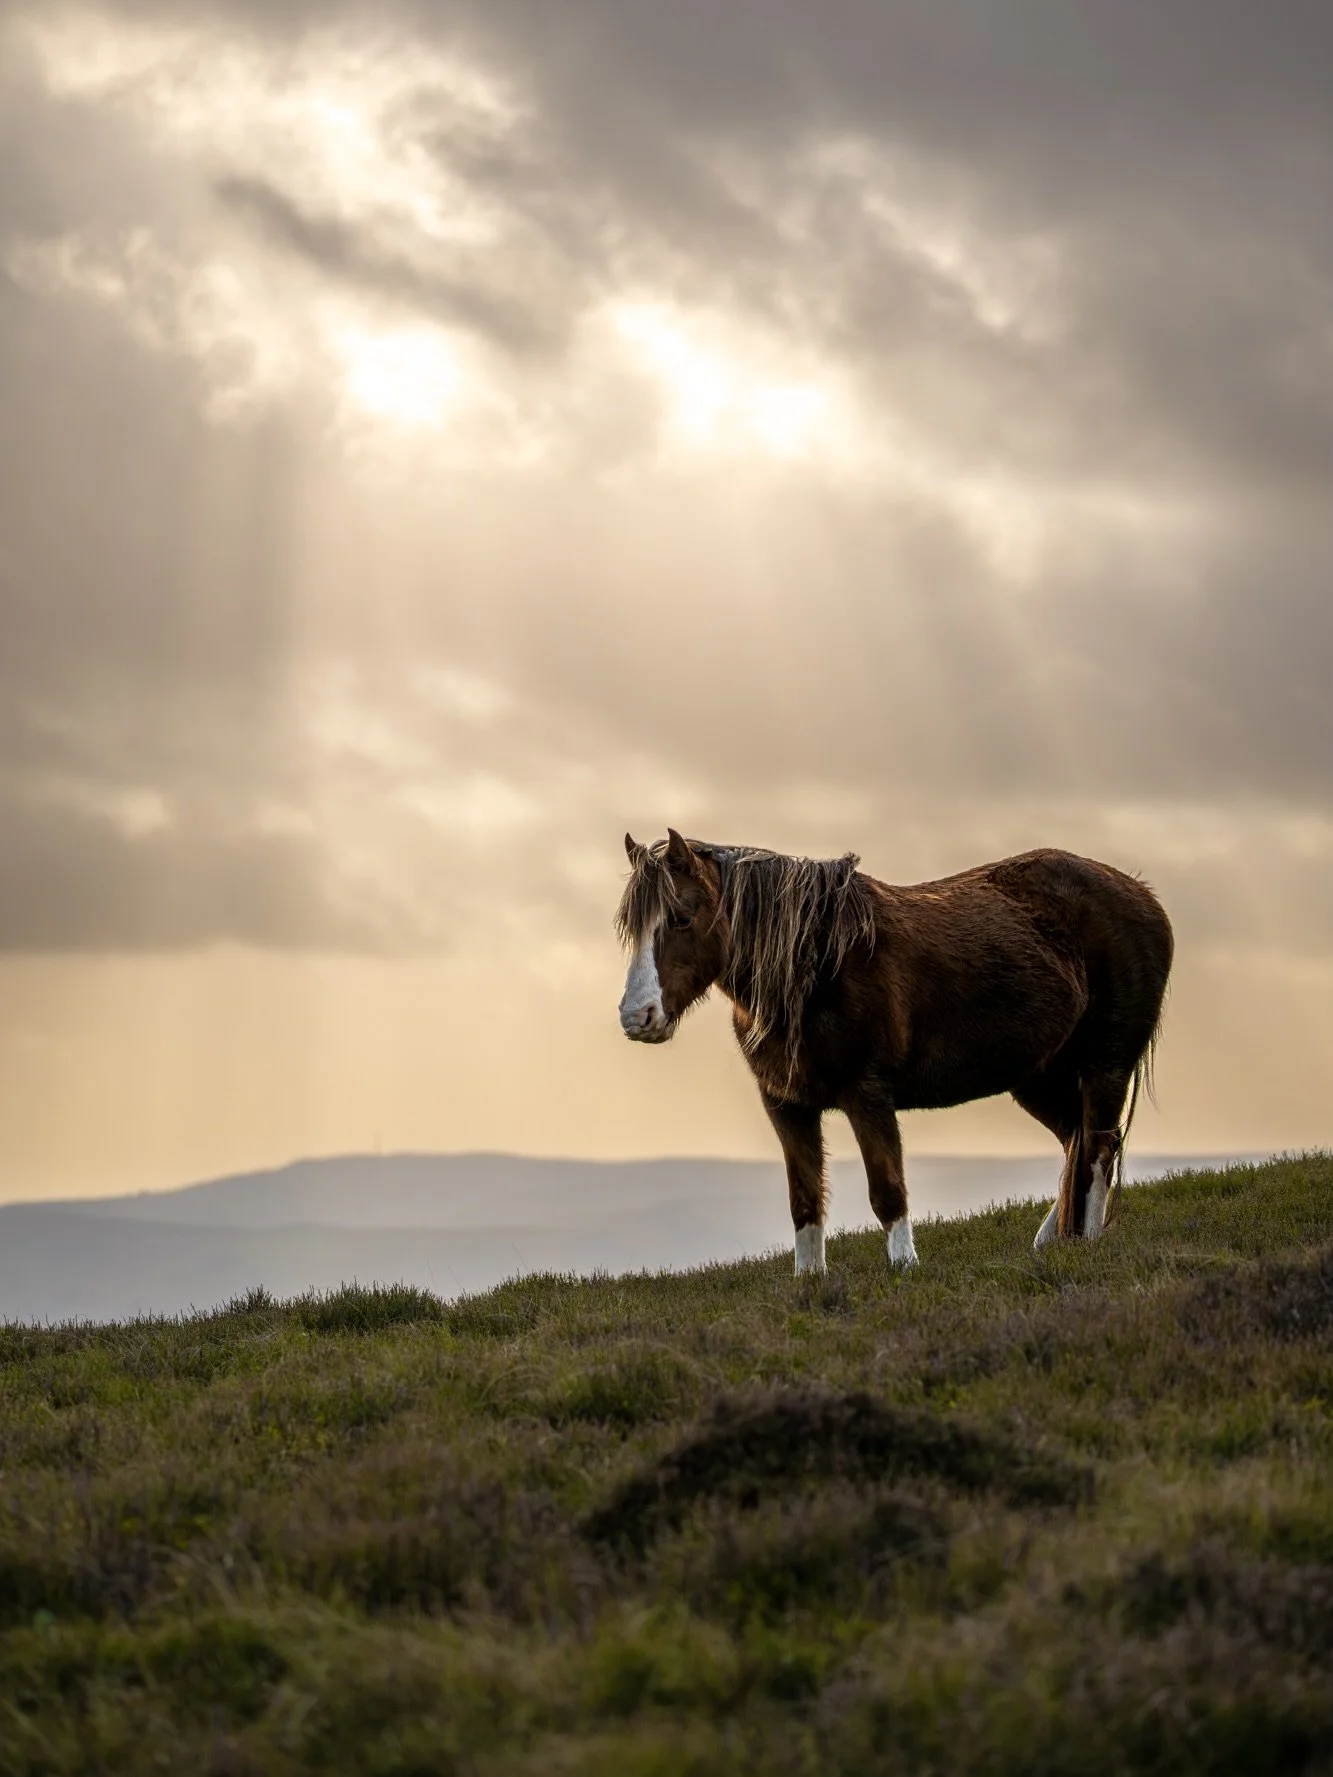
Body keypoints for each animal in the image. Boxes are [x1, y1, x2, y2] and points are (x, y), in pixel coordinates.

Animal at [616, 831, 1173, 1274]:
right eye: (633, 928)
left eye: (682, 918)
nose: (636, 1016)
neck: (817, 967)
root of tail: (1143, 895)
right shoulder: (786, 1105)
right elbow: (804, 1199)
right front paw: (810, 1280)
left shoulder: (869, 1097)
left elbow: (887, 1190)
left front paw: (904, 1268)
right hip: (1036, 1076)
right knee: (1075, 1140)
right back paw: (1050, 1241)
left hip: (1105, 1065)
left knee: (1098, 1147)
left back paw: (1090, 1241)